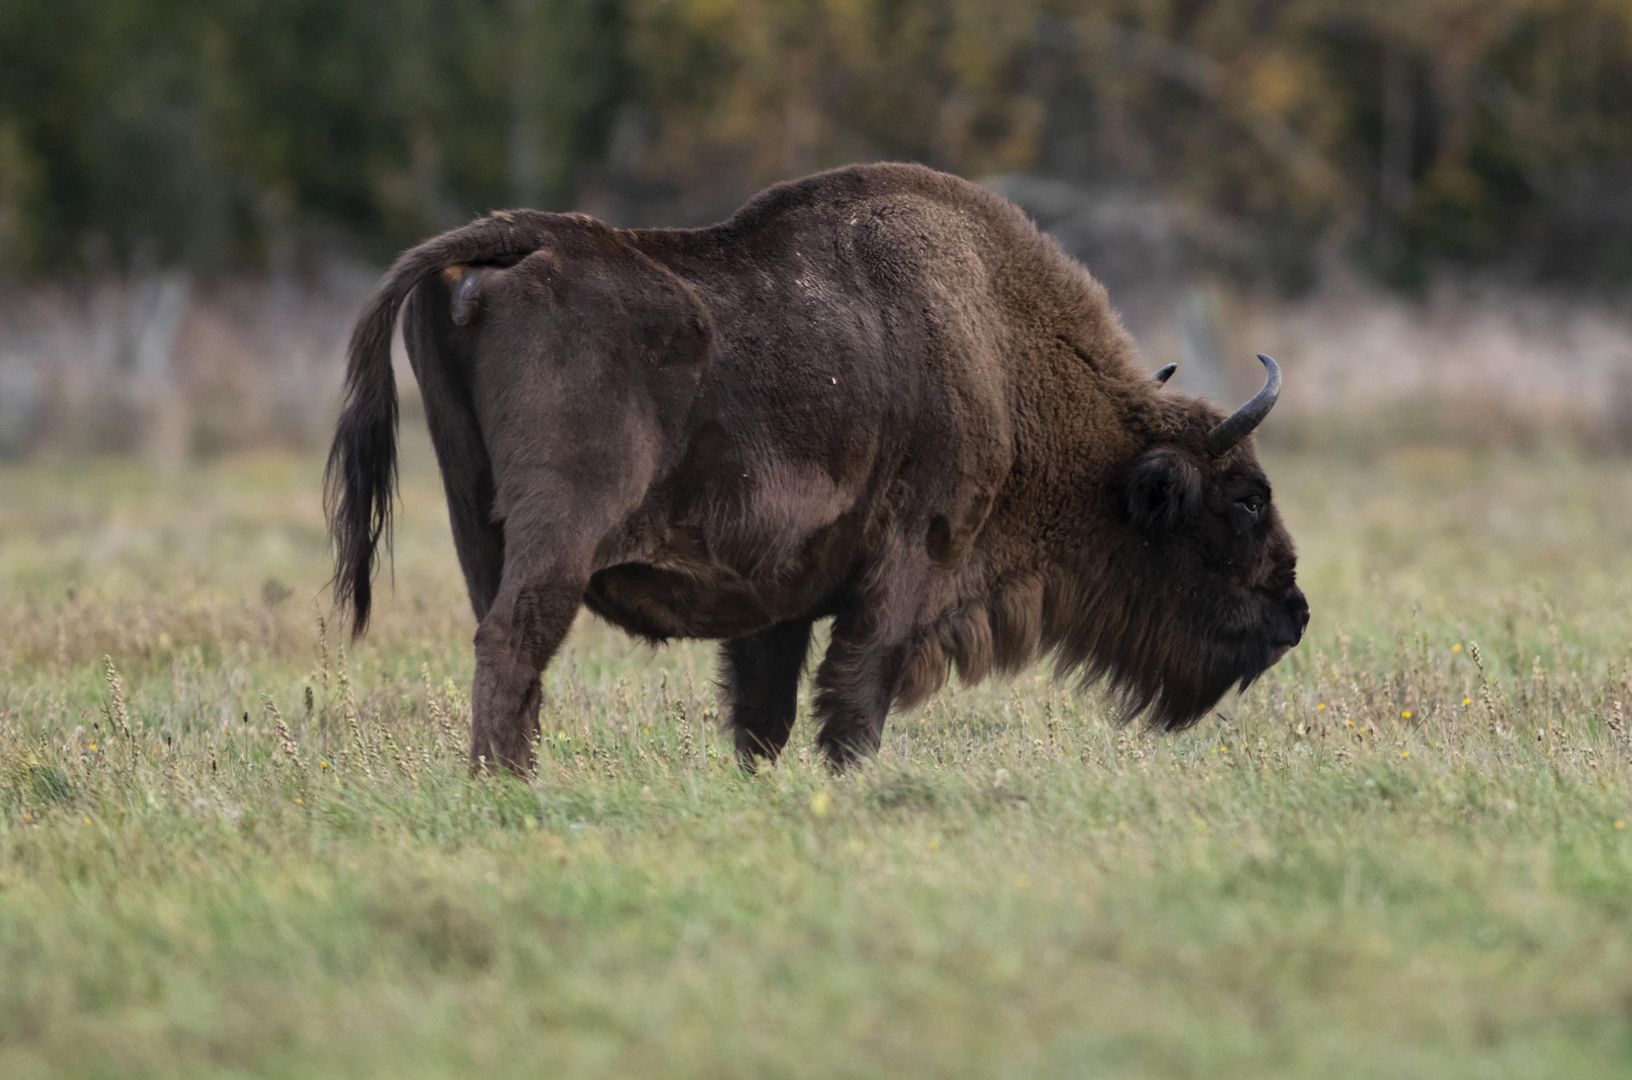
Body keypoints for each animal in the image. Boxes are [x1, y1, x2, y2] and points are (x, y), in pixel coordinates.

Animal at [324, 160, 1305, 773]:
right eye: (1245, 499)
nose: (1293, 615)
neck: (996, 354)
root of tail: (514, 243)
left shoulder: (780, 602)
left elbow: (765, 715)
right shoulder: (904, 578)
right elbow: (853, 706)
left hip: (476, 525)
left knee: (507, 657)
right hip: (554, 544)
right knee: (513, 646)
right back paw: (508, 792)